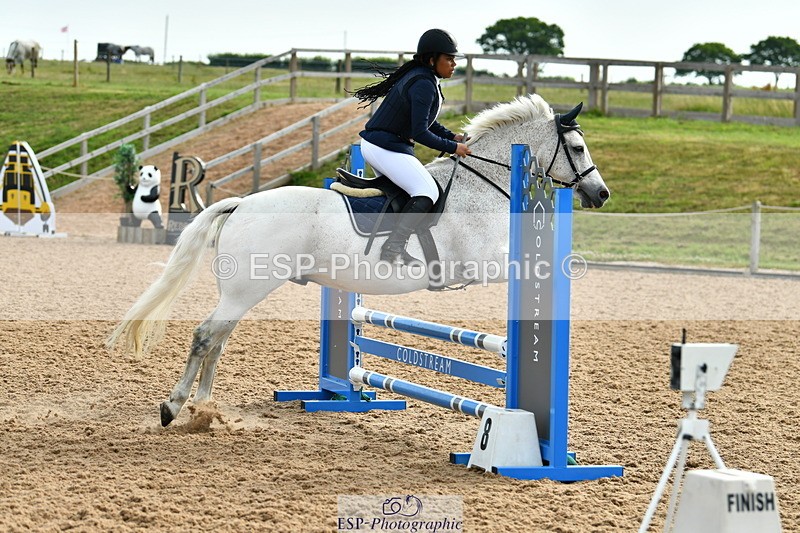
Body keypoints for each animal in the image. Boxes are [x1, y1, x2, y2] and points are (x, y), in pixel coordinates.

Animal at [106, 94, 610, 427]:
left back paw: (204, 410)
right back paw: (174, 407)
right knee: (206, 336)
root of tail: (242, 203)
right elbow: (534, 268)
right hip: (247, 288)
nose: (601, 194)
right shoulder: (484, 264)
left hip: (243, 292)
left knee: (218, 339)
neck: (484, 185)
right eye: (578, 149)